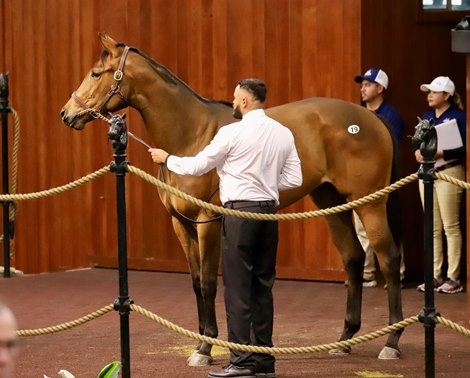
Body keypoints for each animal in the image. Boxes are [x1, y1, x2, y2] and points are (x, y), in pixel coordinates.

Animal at [58, 32, 404, 364]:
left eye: (96, 73)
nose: (66, 113)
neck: (192, 134)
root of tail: (371, 118)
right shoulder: (181, 224)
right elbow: (196, 283)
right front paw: (201, 341)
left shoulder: (207, 222)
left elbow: (210, 283)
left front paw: (205, 347)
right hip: (333, 204)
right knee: (353, 258)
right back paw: (344, 340)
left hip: (371, 204)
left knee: (388, 259)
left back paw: (391, 342)